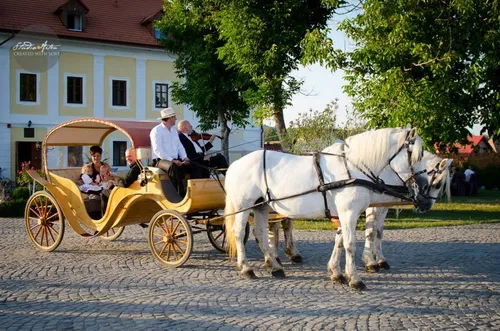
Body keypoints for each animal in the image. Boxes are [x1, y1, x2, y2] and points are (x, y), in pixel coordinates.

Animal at [225, 126, 432, 290]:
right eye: (417, 155)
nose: (425, 190)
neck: (353, 169)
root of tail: (235, 164)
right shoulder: (349, 213)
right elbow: (349, 244)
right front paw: (355, 279)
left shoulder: (344, 214)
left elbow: (339, 241)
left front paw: (337, 273)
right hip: (244, 206)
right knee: (239, 233)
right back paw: (246, 268)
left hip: (261, 206)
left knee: (260, 233)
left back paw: (275, 267)